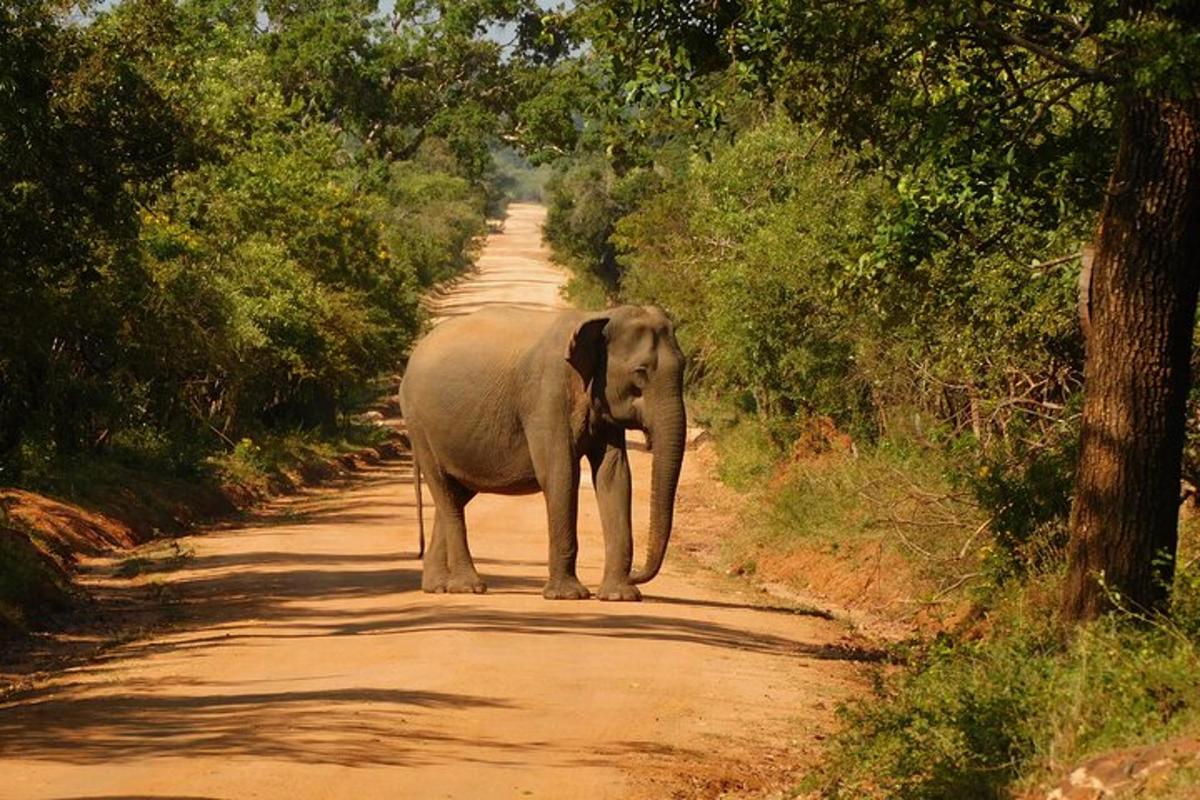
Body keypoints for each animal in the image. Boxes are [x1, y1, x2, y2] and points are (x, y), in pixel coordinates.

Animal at [400, 304, 686, 599]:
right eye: (641, 371)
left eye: (684, 366)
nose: (637, 574)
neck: (596, 318)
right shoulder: (548, 395)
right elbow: (561, 474)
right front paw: (568, 595)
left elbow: (614, 475)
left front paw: (619, 596)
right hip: (419, 427)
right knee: (445, 490)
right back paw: (468, 587)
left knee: (455, 495)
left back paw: (437, 587)